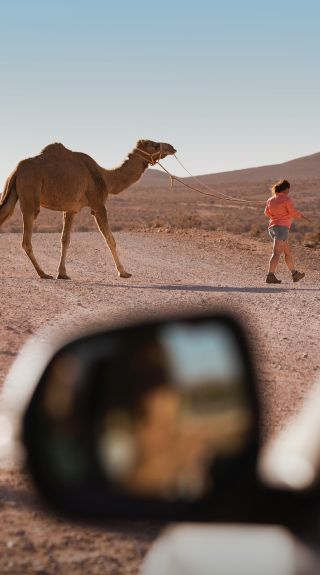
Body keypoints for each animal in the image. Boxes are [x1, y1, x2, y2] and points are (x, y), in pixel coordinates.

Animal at [0, 142, 175, 282]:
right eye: (155, 145)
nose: (172, 147)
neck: (106, 177)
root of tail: (16, 170)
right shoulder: (98, 205)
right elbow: (110, 239)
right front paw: (123, 272)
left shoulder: (71, 209)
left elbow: (65, 239)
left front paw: (62, 273)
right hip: (30, 196)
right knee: (26, 240)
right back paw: (43, 273)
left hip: (13, 193)